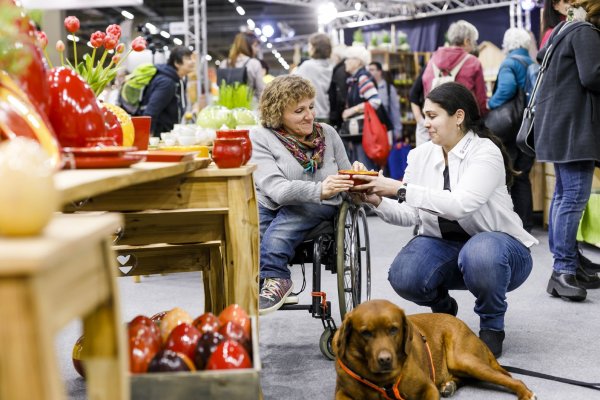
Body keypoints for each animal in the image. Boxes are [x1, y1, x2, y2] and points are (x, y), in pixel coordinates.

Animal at [336, 300, 536, 400]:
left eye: (393, 329)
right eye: (366, 333)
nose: (385, 360)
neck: (382, 381)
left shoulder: (427, 389)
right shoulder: (341, 393)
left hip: (464, 360)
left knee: (512, 379)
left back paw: (526, 393)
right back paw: (449, 385)